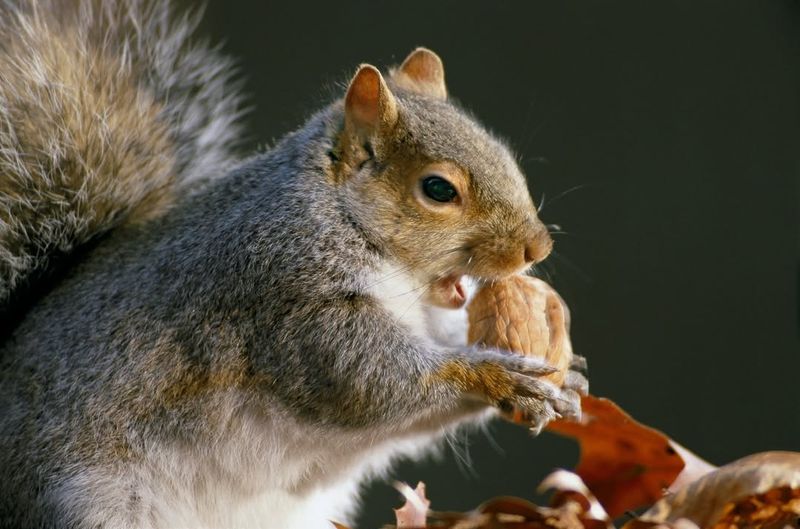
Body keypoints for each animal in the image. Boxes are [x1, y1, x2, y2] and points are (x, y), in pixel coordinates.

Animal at [0, 1, 588, 528]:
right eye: (438, 190)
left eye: (504, 154)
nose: (538, 248)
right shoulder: (287, 297)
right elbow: (365, 379)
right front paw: (495, 374)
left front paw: (565, 378)